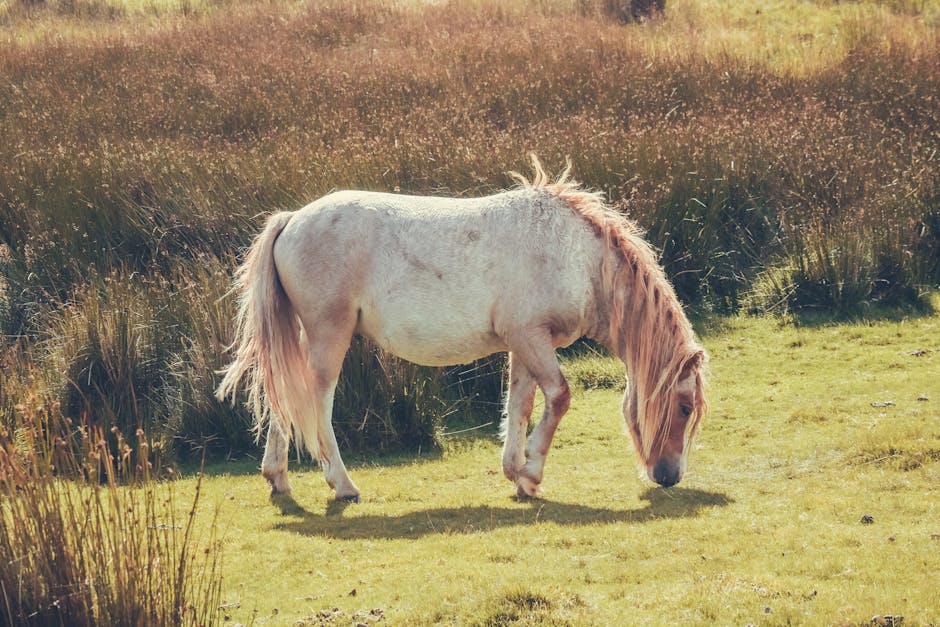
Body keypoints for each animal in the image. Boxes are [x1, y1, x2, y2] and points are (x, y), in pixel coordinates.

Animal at [218, 158, 704, 506]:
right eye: (684, 408)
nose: (669, 476)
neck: (577, 254)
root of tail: (292, 218)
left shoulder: (525, 344)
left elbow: (521, 405)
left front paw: (518, 475)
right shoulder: (532, 338)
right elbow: (559, 397)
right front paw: (532, 473)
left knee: (287, 395)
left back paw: (278, 478)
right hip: (327, 337)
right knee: (316, 403)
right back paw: (343, 485)